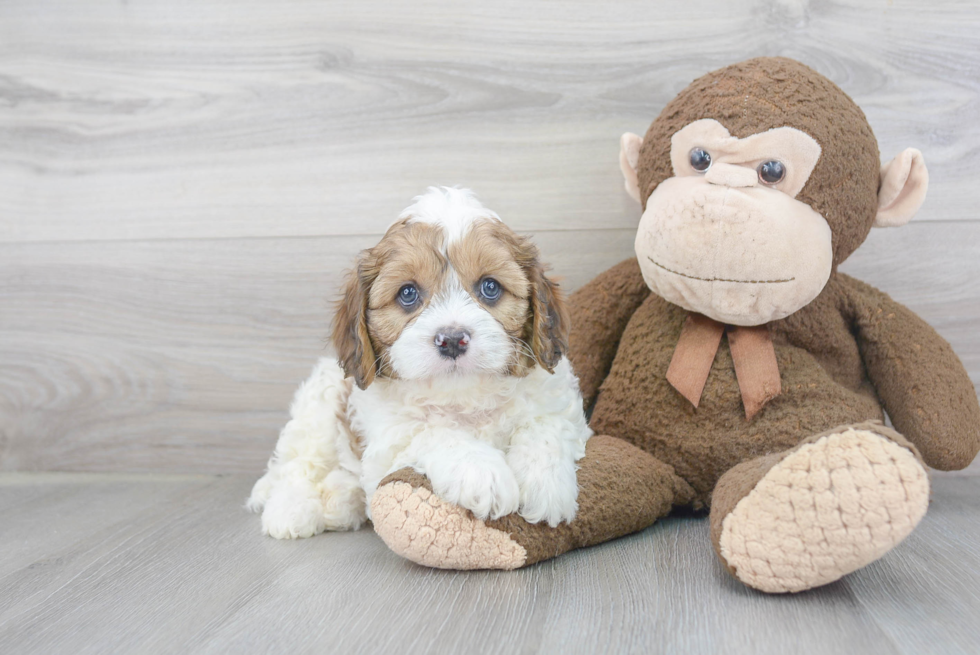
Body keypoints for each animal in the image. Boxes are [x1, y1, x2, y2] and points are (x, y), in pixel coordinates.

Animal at [249, 188, 592, 540]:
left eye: (490, 287)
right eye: (407, 293)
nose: (452, 340)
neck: (463, 396)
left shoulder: (559, 404)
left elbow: (546, 426)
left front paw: (546, 485)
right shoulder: (389, 444)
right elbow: (432, 433)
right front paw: (482, 472)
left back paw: (341, 500)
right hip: (318, 404)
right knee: (297, 465)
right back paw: (292, 511)